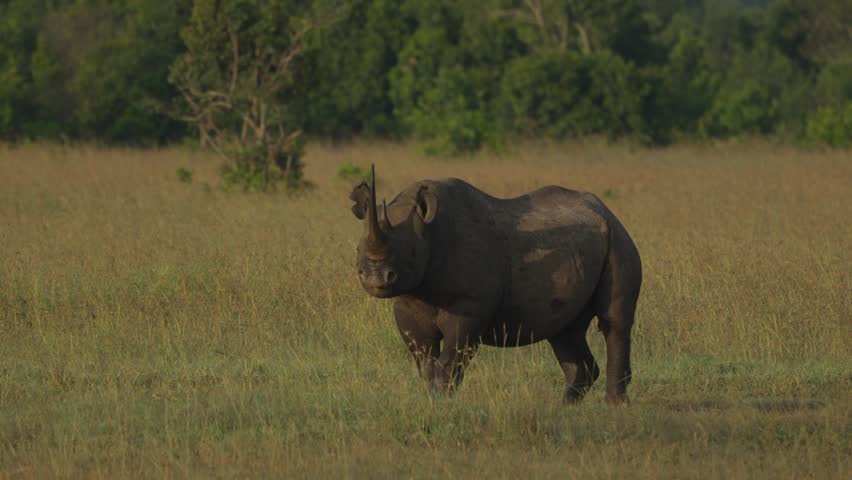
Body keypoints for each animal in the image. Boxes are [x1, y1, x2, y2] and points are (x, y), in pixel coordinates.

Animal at [350, 166, 642, 404]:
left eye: (411, 253)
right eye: (357, 250)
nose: (376, 278)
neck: (429, 233)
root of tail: (606, 209)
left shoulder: (469, 309)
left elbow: (449, 363)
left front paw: (443, 404)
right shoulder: (408, 303)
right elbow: (425, 363)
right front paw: (430, 402)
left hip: (618, 238)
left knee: (615, 322)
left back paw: (614, 405)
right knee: (564, 330)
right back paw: (566, 407)